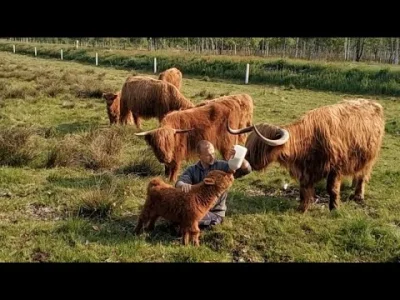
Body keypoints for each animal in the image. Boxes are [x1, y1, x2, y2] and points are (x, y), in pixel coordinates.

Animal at [227, 98, 386, 211]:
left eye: (259, 149)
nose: (241, 167)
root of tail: (373, 102)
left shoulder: (335, 168)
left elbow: (332, 189)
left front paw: (334, 208)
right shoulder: (305, 170)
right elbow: (304, 189)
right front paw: (302, 207)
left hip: (370, 157)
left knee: (363, 175)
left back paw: (358, 195)